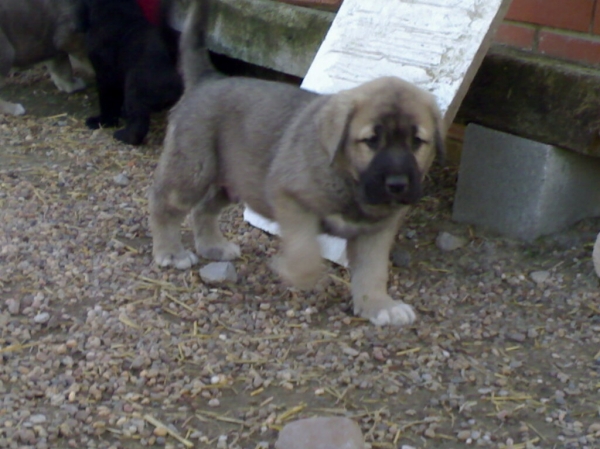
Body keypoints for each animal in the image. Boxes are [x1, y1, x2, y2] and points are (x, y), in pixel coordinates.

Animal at [148, 1, 442, 328]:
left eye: (417, 141)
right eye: (371, 140)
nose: (397, 185)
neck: (349, 181)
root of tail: (209, 78)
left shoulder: (375, 233)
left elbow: (373, 272)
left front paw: (379, 306)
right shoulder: (290, 199)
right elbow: (304, 250)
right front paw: (296, 272)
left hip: (232, 180)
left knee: (203, 209)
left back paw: (213, 245)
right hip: (191, 170)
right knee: (164, 205)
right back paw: (170, 252)